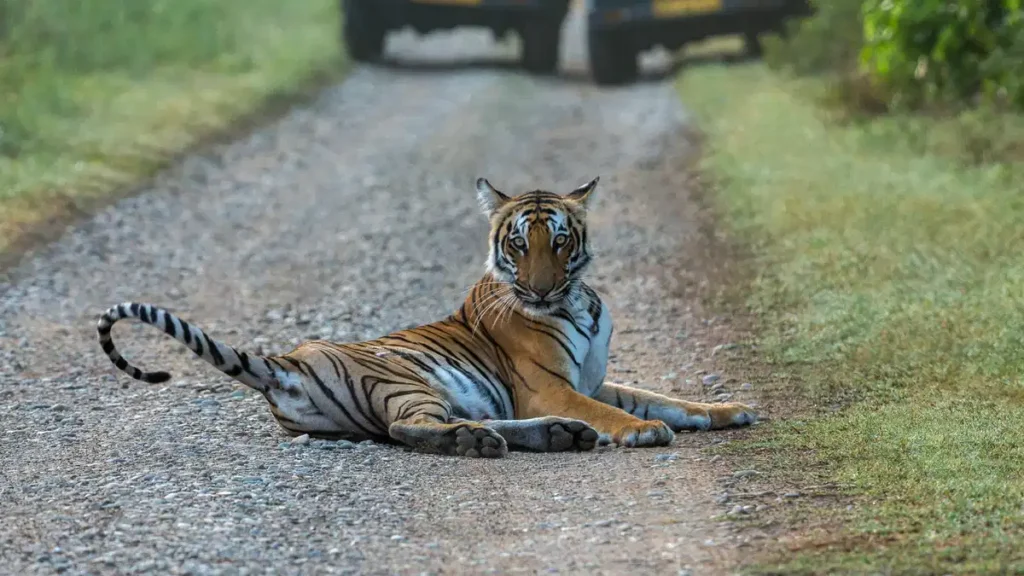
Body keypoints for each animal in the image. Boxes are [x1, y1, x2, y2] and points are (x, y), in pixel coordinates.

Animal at [97, 177, 757, 458]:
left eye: (561, 241)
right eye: (518, 244)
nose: (540, 287)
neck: (577, 300)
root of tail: (289, 361)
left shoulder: (593, 380)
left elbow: (666, 398)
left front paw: (729, 411)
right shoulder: (548, 386)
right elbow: (621, 412)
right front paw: (641, 431)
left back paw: (553, 436)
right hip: (407, 380)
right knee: (406, 429)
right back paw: (488, 442)